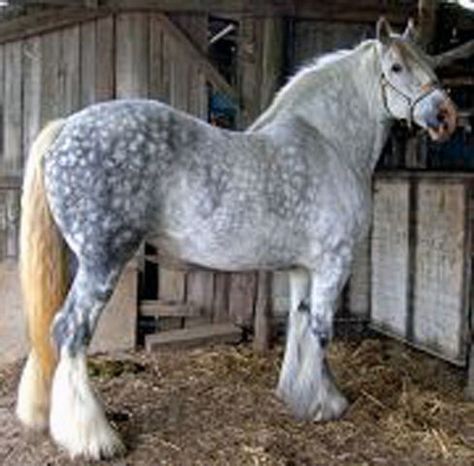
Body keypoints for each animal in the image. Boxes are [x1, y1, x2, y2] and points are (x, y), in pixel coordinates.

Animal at [16, 18, 458, 458]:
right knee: (71, 331)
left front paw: (296, 394)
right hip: (102, 263)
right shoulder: (334, 264)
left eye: (430, 61)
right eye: (396, 67)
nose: (447, 115)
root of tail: (66, 128)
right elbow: (320, 331)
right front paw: (326, 404)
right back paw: (93, 438)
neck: (327, 143)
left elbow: (298, 324)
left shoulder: (303, 269)